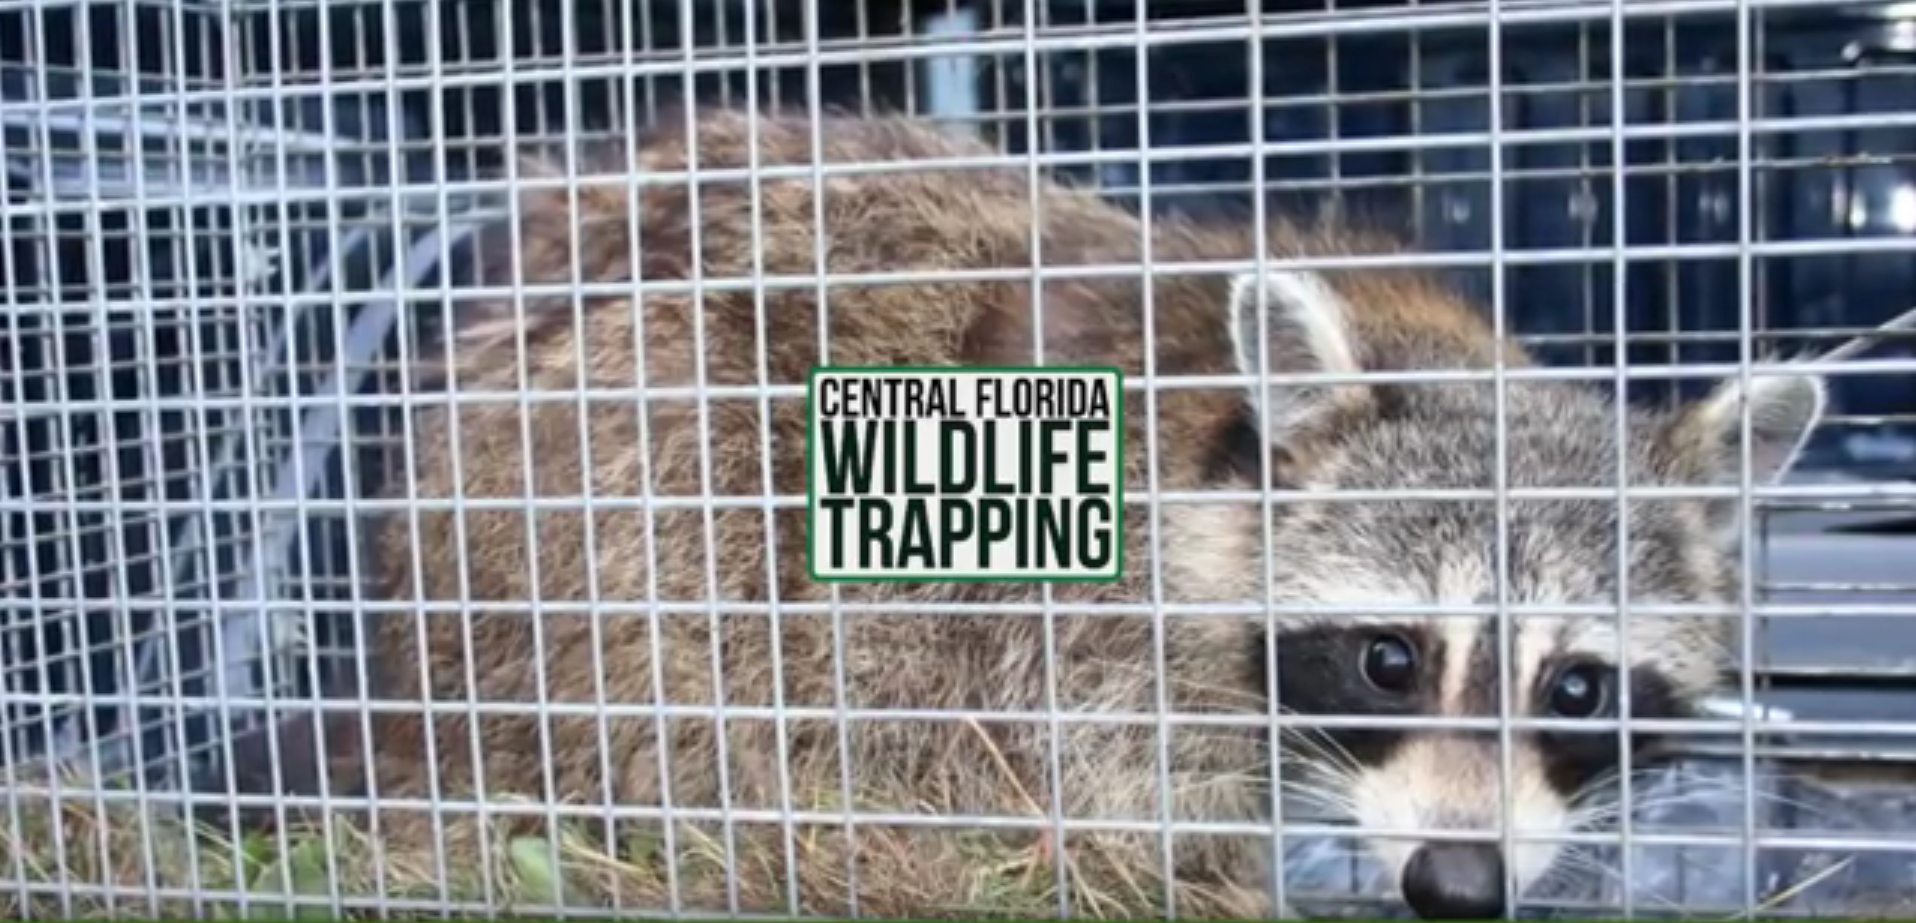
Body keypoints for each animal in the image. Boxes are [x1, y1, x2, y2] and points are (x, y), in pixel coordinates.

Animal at [239, 108, 1824, 915]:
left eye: (1578, 683)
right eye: (1391, 658)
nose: (1454, 880)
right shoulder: (1084, 635)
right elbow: (1099, 792)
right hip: (610, 509)